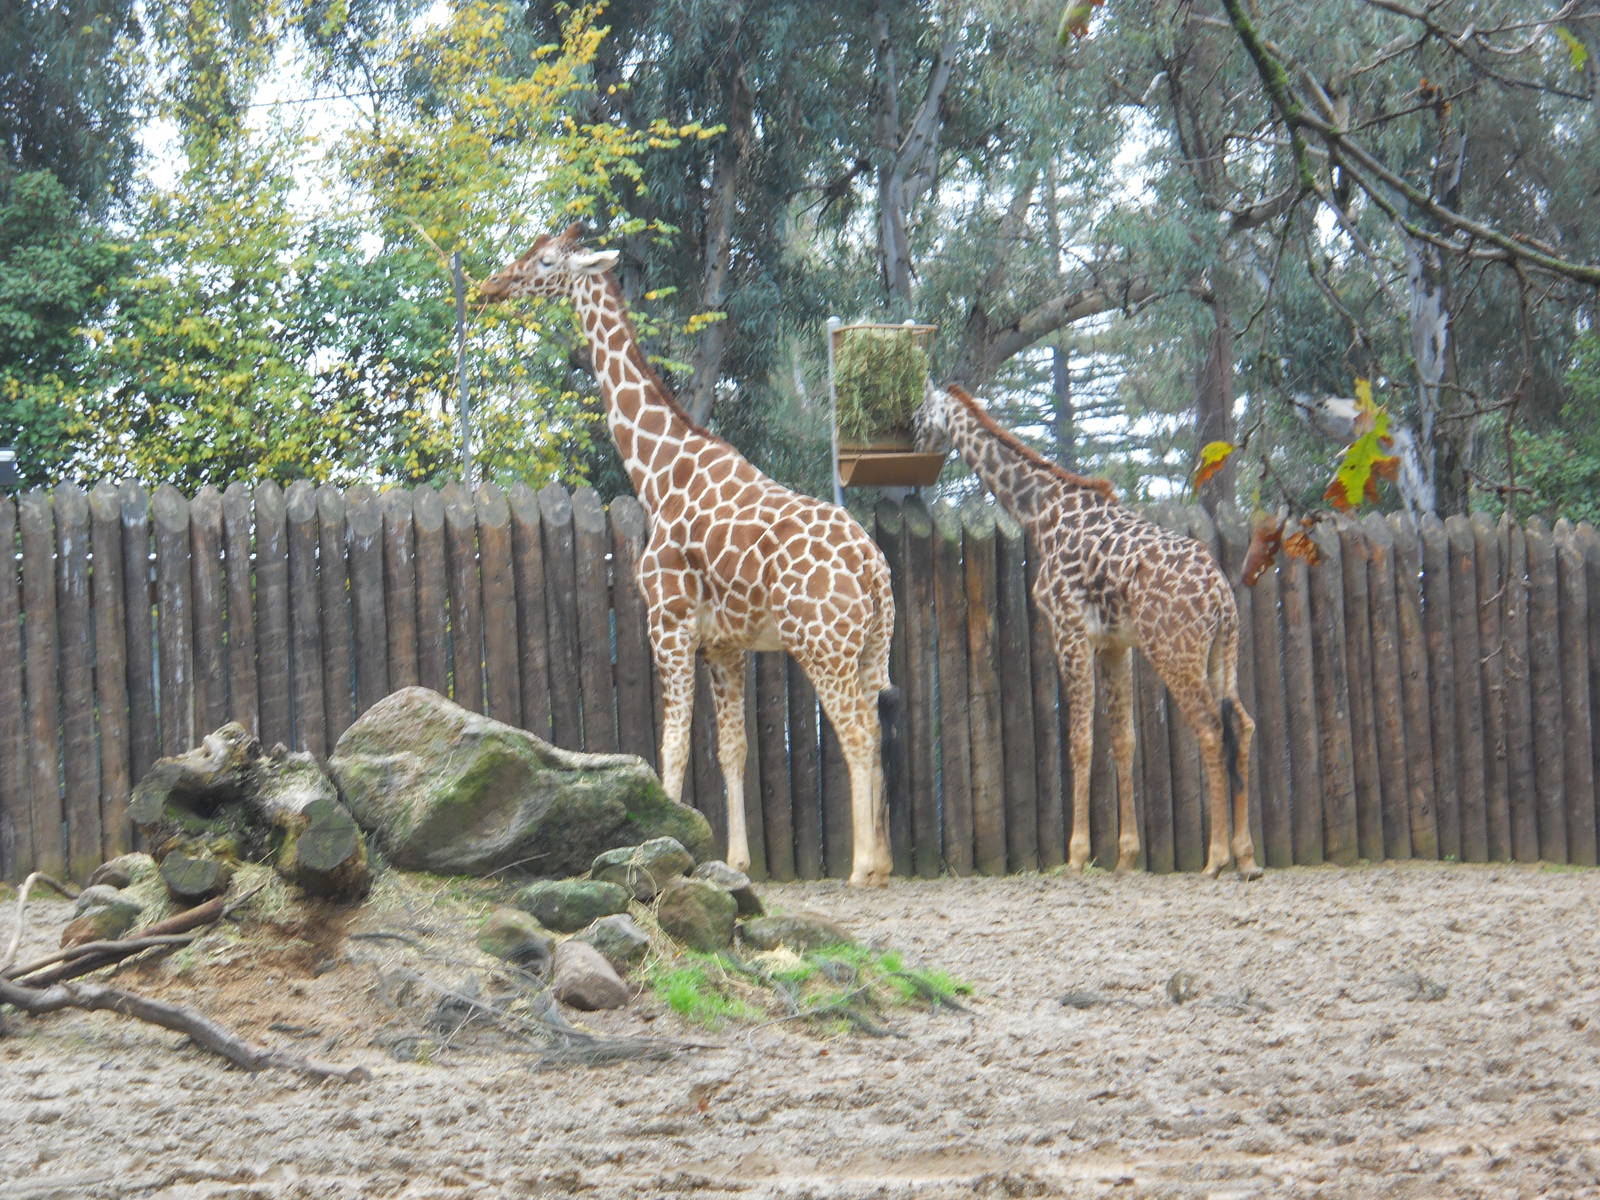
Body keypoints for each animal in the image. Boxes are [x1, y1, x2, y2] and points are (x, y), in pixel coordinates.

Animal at [479, 226, 896, 886]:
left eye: (543, 262)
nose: (494, 285)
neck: (658, 472)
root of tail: (873, 568)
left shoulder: (668, 623)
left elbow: (670, 744)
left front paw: (657, 845)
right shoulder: (724, 644)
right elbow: (731, 750)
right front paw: (736, 861)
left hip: (821, 644)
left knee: (855, 734)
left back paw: (862, 868)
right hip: (868, 647)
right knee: (875, 730)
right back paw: (881, 861)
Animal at [914, 383, 1261, 879]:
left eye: (919, 413)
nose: (915, 441)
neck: (1041, 510)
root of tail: (1221, 596)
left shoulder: (1069, 630)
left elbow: (1079, 742)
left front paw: (1077, 854)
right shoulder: (1114, 645)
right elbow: (1122, 741)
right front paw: (1127, 856)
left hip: (1175, 652)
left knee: (1212, 729)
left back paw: (1216, 858)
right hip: (1221, 651)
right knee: (1242, 725)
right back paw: (1247, 856)